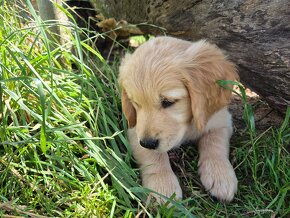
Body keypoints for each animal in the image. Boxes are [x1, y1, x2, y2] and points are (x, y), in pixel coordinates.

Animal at [118, 36, 238, 203]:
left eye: (168, 102)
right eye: (135, 103)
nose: (148, 143)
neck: (187, 127)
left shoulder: (220, 120)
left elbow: (215, 142)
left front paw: (220, 176)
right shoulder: (135, 130)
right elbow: (153, 156)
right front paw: (162, 187)